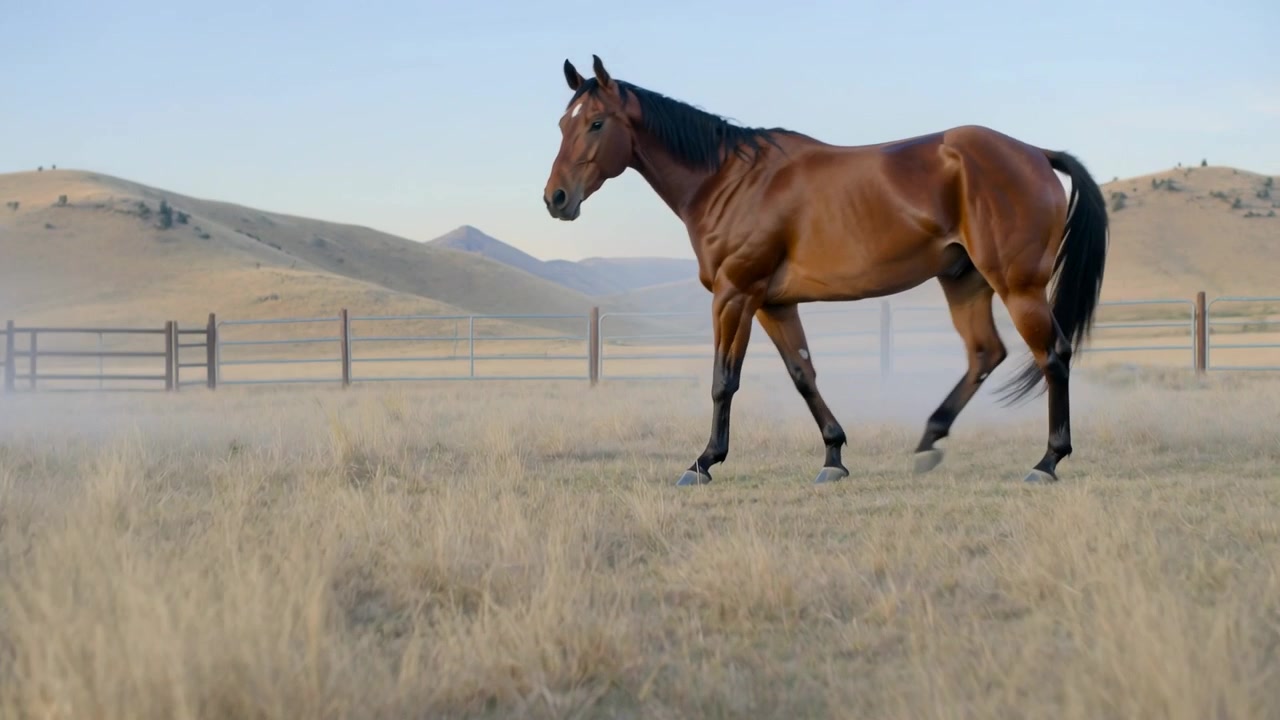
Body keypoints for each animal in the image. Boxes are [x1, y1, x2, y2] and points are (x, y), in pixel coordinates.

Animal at [542, 55, 1108, 487]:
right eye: (564, 124)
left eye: (596, 123)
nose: (556, 199)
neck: (730, 181)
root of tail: (1036, 153)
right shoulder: (773, 303)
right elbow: (803, 374)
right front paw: (834, 457)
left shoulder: (734, 294)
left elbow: (724, 380)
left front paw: (703, 463)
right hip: (963, 281)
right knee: (985, 354)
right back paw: (929, 439)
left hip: (1017, 286)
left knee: (1052, 356)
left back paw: (1047, 462)